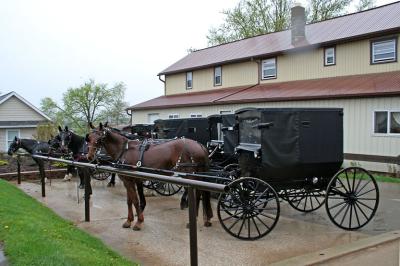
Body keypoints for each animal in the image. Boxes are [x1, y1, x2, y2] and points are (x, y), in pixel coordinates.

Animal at [86, 123, 214, 231]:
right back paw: (206, 219)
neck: (124, 149)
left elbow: (135, 200)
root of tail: (200, 145)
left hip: (190, 177)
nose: (89, 156)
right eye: (89, 138)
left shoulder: (129, 180)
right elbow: (129, 201)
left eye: (99, 139)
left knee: (197, 195)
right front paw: (129, 221)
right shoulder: (128, 180)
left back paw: (194, 219)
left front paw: (138, 222)